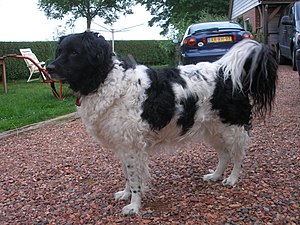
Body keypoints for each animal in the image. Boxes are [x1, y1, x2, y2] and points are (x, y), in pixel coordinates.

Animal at [45, 31, 278, 214]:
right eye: (59, 51)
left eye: (75, 53)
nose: (48, 68)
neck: (104, 79)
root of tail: (225, 72)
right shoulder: (123, 145)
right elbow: (128, 176)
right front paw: (126, 194)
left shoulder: (131, 147)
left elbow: (135, 179)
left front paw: (134, 206)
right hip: (212, 129)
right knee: (224, 154)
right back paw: (215, 175)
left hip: (232, 128)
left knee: (238, 155)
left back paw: (232, 179)